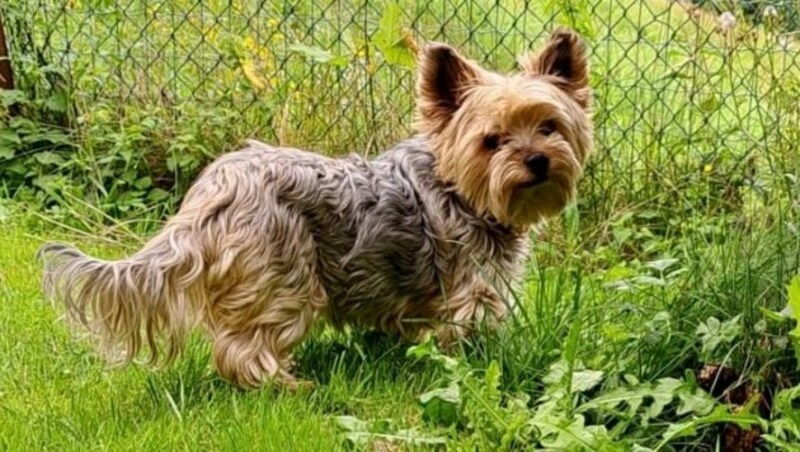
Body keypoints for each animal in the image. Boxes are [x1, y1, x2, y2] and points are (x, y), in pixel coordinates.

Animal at [39, 28, 592, 388]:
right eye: (492, 141)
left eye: (549, 126)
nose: (537, 160)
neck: (462, 190)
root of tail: (212, 191)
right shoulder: (472, 289)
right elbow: (473, 333)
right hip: (282, 277)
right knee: (244, 348)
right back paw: (285, 386)